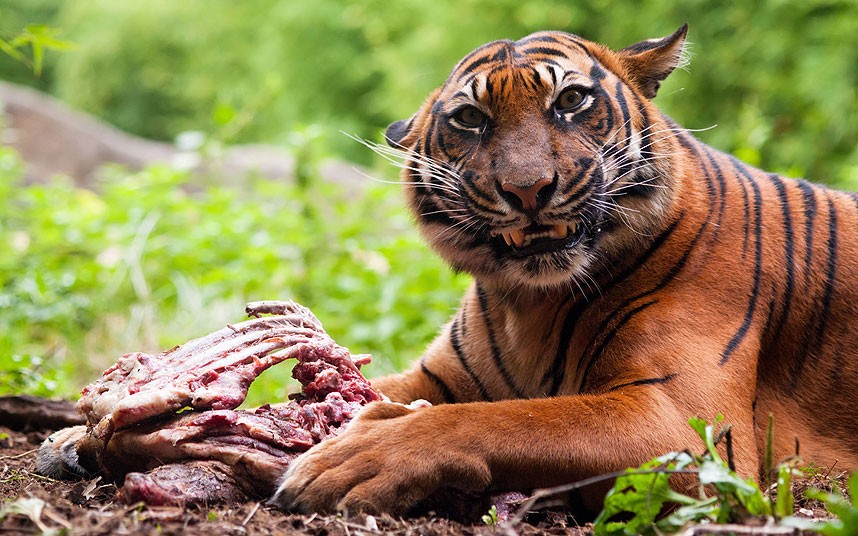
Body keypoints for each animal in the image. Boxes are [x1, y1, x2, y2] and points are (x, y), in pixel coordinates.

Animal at [272, 25, 856, 516]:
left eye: (571, 101)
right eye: (470, 119)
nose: (528, 188)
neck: (528, 304)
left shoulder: (691, 430)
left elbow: (516, 419)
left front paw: (355, 456)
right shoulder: (435, 376)